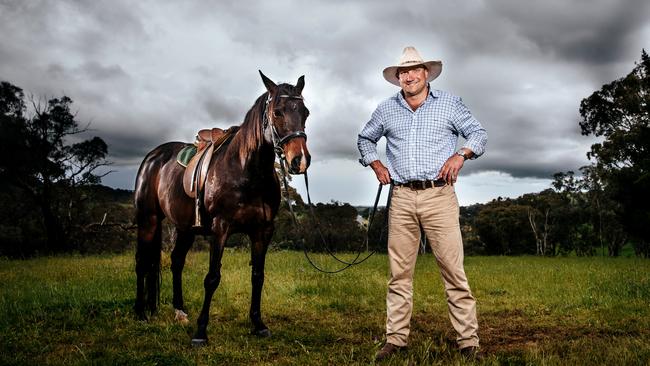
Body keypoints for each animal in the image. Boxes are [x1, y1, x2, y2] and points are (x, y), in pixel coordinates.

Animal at [133, 71, 310, 346]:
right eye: (278, 112)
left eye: (306, 112)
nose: (299, 160)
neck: (247, 172)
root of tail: (153, 157)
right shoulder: (221, 228)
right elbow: (212, 278)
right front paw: (200, 332)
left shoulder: (263, 230)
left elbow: (258, 275)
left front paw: (258, 324)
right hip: (148, 220)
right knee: (142, 262)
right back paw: (141, 313)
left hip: (185, 229)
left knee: (176, 261)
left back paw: (179, 311)